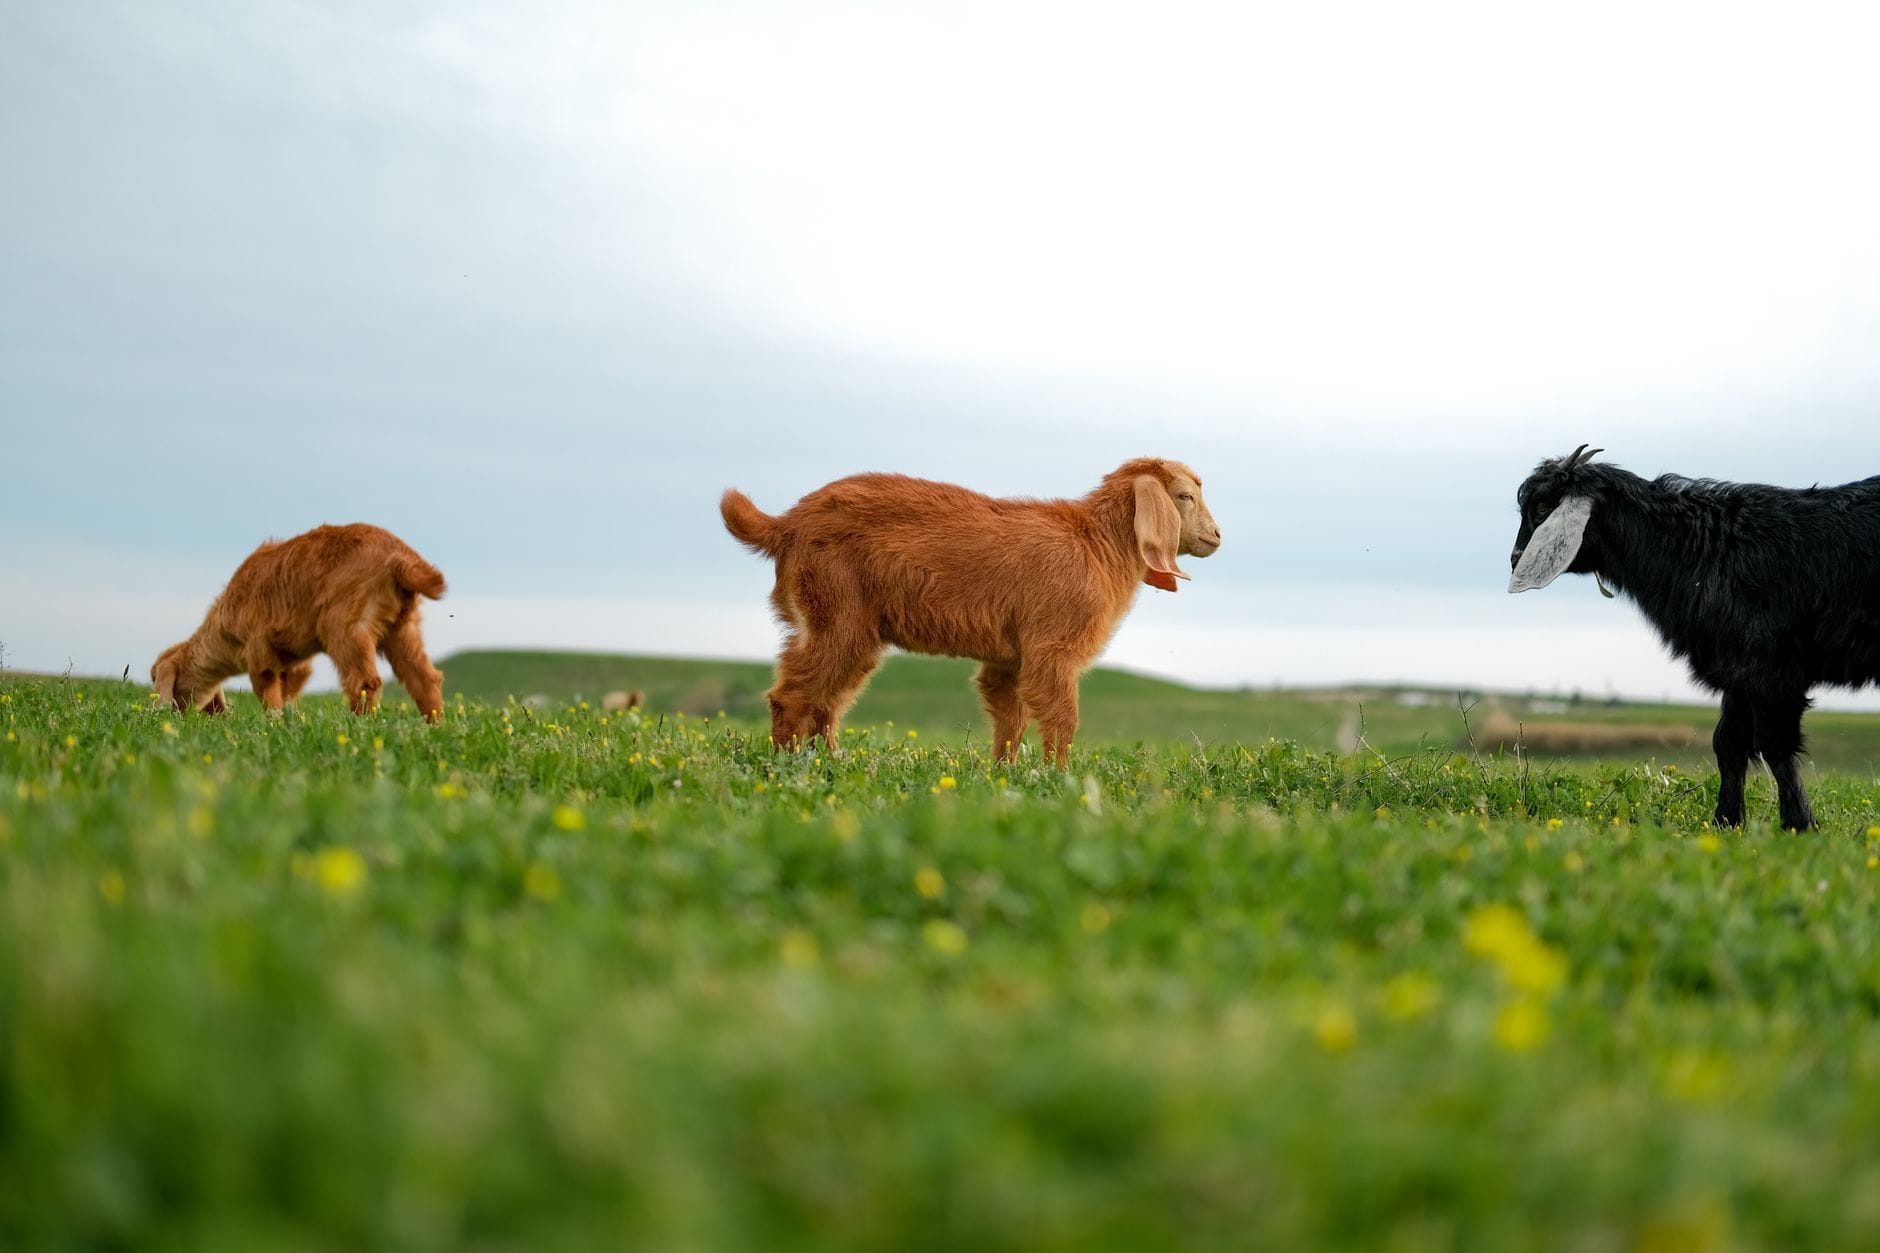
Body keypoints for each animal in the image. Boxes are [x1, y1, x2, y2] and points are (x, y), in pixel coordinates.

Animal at [152, 523, 448, 723]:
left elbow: (269, 692)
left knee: (365, 682)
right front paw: (291, 722)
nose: (176, 715)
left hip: (347, 624)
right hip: (402, 627)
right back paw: (434, 725)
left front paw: (272, 726)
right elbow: (288, 693)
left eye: (156, 677)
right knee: (425, 678)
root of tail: (402, 559)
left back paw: (359, 727)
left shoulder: (259, 649)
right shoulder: (294, 660)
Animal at [721, 458, 1221, 765]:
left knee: (826, 698)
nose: (1216, 535)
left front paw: (1004, 772)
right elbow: (1062, 717)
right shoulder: (1052, 647)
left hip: (835, 624)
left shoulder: (1010, 657)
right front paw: (1060, 778)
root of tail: (785, 525)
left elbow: (1010, 716)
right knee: (793, 694)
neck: (1097, 544)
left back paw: (830, 760)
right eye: (1184, 495)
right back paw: (787, 766)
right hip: (837, 614)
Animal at [1509, 444, 1880, 830]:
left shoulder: (1771, 671)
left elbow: (1775, 747)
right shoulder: (1738, 671)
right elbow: (1727, 743)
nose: (1514, 559)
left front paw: (1799, 823)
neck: (1703, 548)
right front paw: (1726, 822)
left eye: (1541, 509)